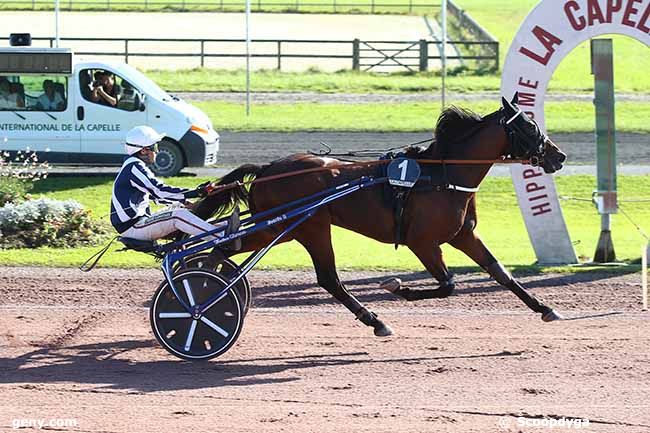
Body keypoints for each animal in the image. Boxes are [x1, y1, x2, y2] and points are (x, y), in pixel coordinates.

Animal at [194, 96, 568, 336]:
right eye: (529, 127)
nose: (559, 156)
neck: (443, 174)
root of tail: (268, 168)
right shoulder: (422, 241)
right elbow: (447, 284)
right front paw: (398, 287)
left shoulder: (464, 235)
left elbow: (501, 273)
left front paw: (545, 309)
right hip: (310, 228)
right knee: (328, 279)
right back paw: (375, 321)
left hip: (280, 229)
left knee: (224, 250)